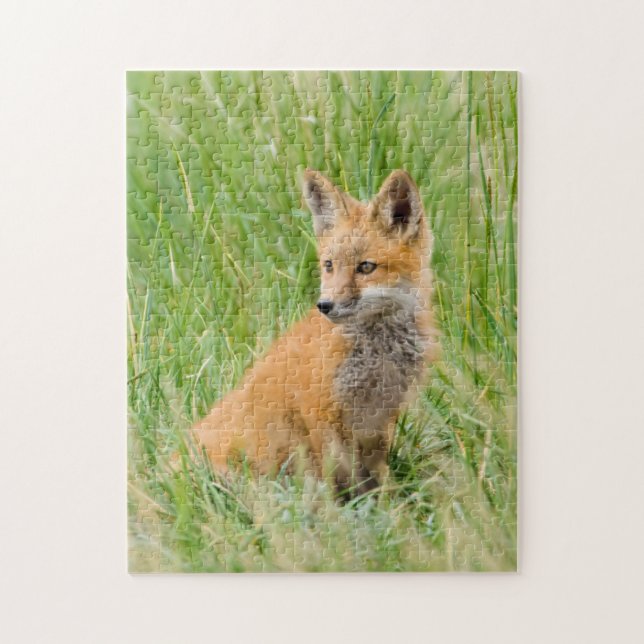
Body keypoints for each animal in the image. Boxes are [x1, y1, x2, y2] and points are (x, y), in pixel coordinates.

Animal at [191, 169, 439, 496]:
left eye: (366, 267)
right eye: (329, 265)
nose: (325, 305)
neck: (378, 352)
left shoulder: (380, 418)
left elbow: (376, 478)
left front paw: (390, 503)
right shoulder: (320, 410)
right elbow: (336, 478)